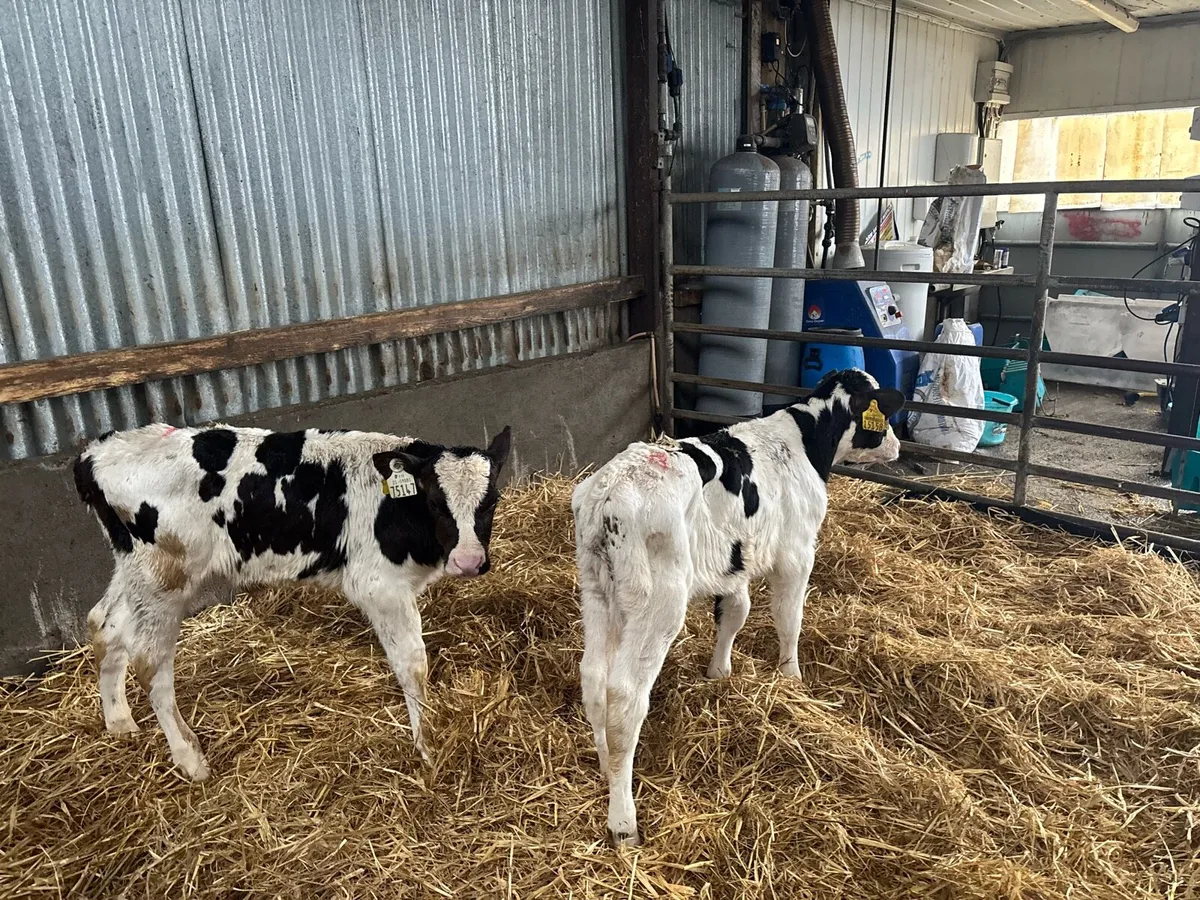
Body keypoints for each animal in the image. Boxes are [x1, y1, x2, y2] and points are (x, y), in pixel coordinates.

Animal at [73, 423, 511, 781]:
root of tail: (96, 451)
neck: (392, 504)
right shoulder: (379, 586)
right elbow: (413, 665)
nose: (468, 561)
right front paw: (429, 745)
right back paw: (190, 759)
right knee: (150, 663)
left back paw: (119, 723)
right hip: (163, 580)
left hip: (134, 572)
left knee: (104, 623)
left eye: (491, 501)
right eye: (435, 502)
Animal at [572, 369, 905, 846]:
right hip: (658, 604)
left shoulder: (736, 561)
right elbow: (789, 618)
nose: (897, 446)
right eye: (882, 413)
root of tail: (609, 490)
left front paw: (719, 673)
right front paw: (791, 676)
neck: (803, 440)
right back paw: (624, 820)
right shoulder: (796, 552)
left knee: (594, 678)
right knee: (625, 695)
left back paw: (606, 768)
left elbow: (735, 613)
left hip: (597, 592)